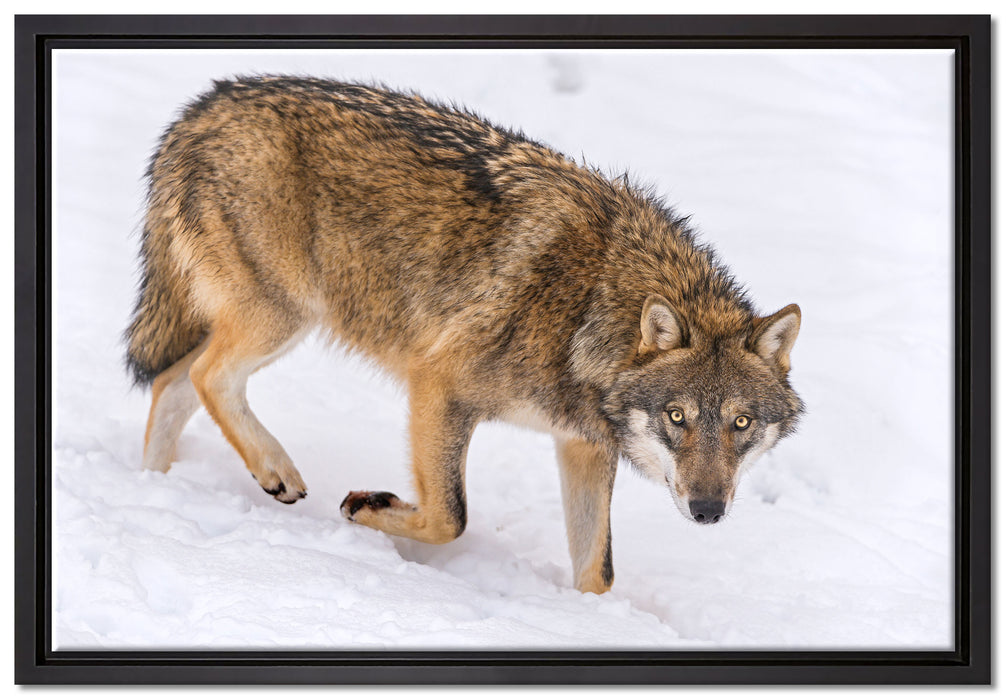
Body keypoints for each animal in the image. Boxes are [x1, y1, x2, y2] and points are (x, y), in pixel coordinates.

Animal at [125, 76, 803, 594]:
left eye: (741, 423)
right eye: (677, 416)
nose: (708, 511)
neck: (590, 308)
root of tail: (203, 105)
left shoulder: (582, 446)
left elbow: (598, 571)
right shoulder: (438, 386)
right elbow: (451, 517)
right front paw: (365, 509)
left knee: (172, 383)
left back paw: (151, 491)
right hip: (282, 317)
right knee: (205, 376)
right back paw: (273, 471)